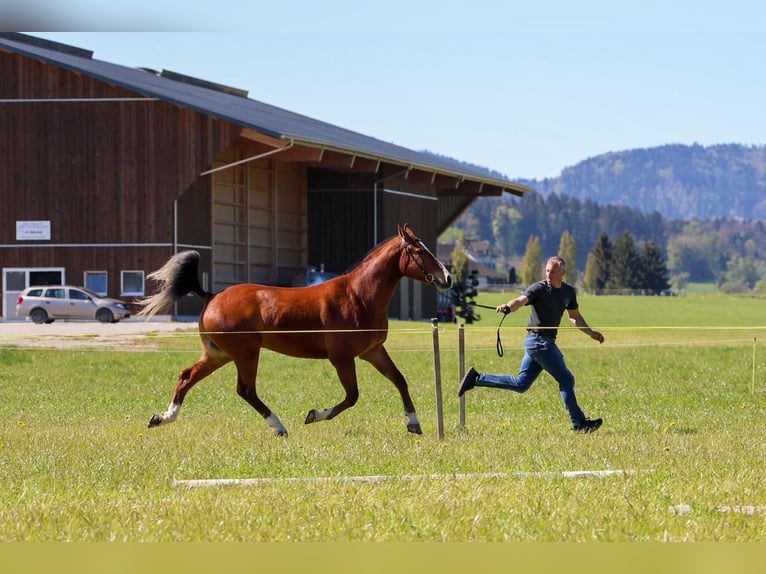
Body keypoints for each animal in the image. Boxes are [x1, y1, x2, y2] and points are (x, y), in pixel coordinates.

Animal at [138, 224, 452, 436]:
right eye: (418, 250)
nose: (446, 278)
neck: (358, 296)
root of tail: (212, 296)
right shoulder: (342, 359)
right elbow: (351, 397)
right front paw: (313, 415)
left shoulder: (373, 351)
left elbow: (399, 380)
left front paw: (414, 423)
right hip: (246, 353)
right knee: (245, 389)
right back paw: (279, 427)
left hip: (219, 355)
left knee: (187, 376)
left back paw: (163, 418)